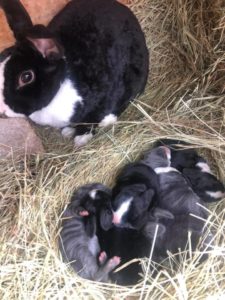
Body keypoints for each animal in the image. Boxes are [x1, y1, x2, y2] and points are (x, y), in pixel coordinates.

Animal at [0, 0, 149, 145]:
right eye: (1, 56)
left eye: (26, 77)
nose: (1, 109)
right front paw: (69, 131)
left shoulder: (107, 94)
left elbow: (92, 119)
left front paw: (81, 138)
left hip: (136, 77)